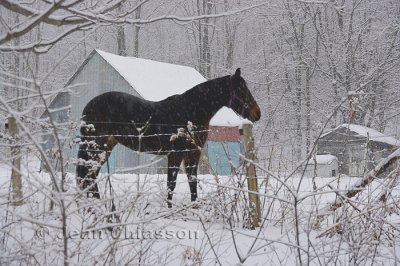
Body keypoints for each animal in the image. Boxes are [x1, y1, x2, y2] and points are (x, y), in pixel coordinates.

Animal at [76, 68, 260, 208]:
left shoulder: (193, 154)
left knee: (90, 173)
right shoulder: (175, 155)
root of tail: (88, 107)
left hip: (105, 147)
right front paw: (169, 209)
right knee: (88, 173)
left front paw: (195, 208)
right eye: (241, 90)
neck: (190, 111)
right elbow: (171, 184)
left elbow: (192, 182)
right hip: (96, 146)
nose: (257, 113)